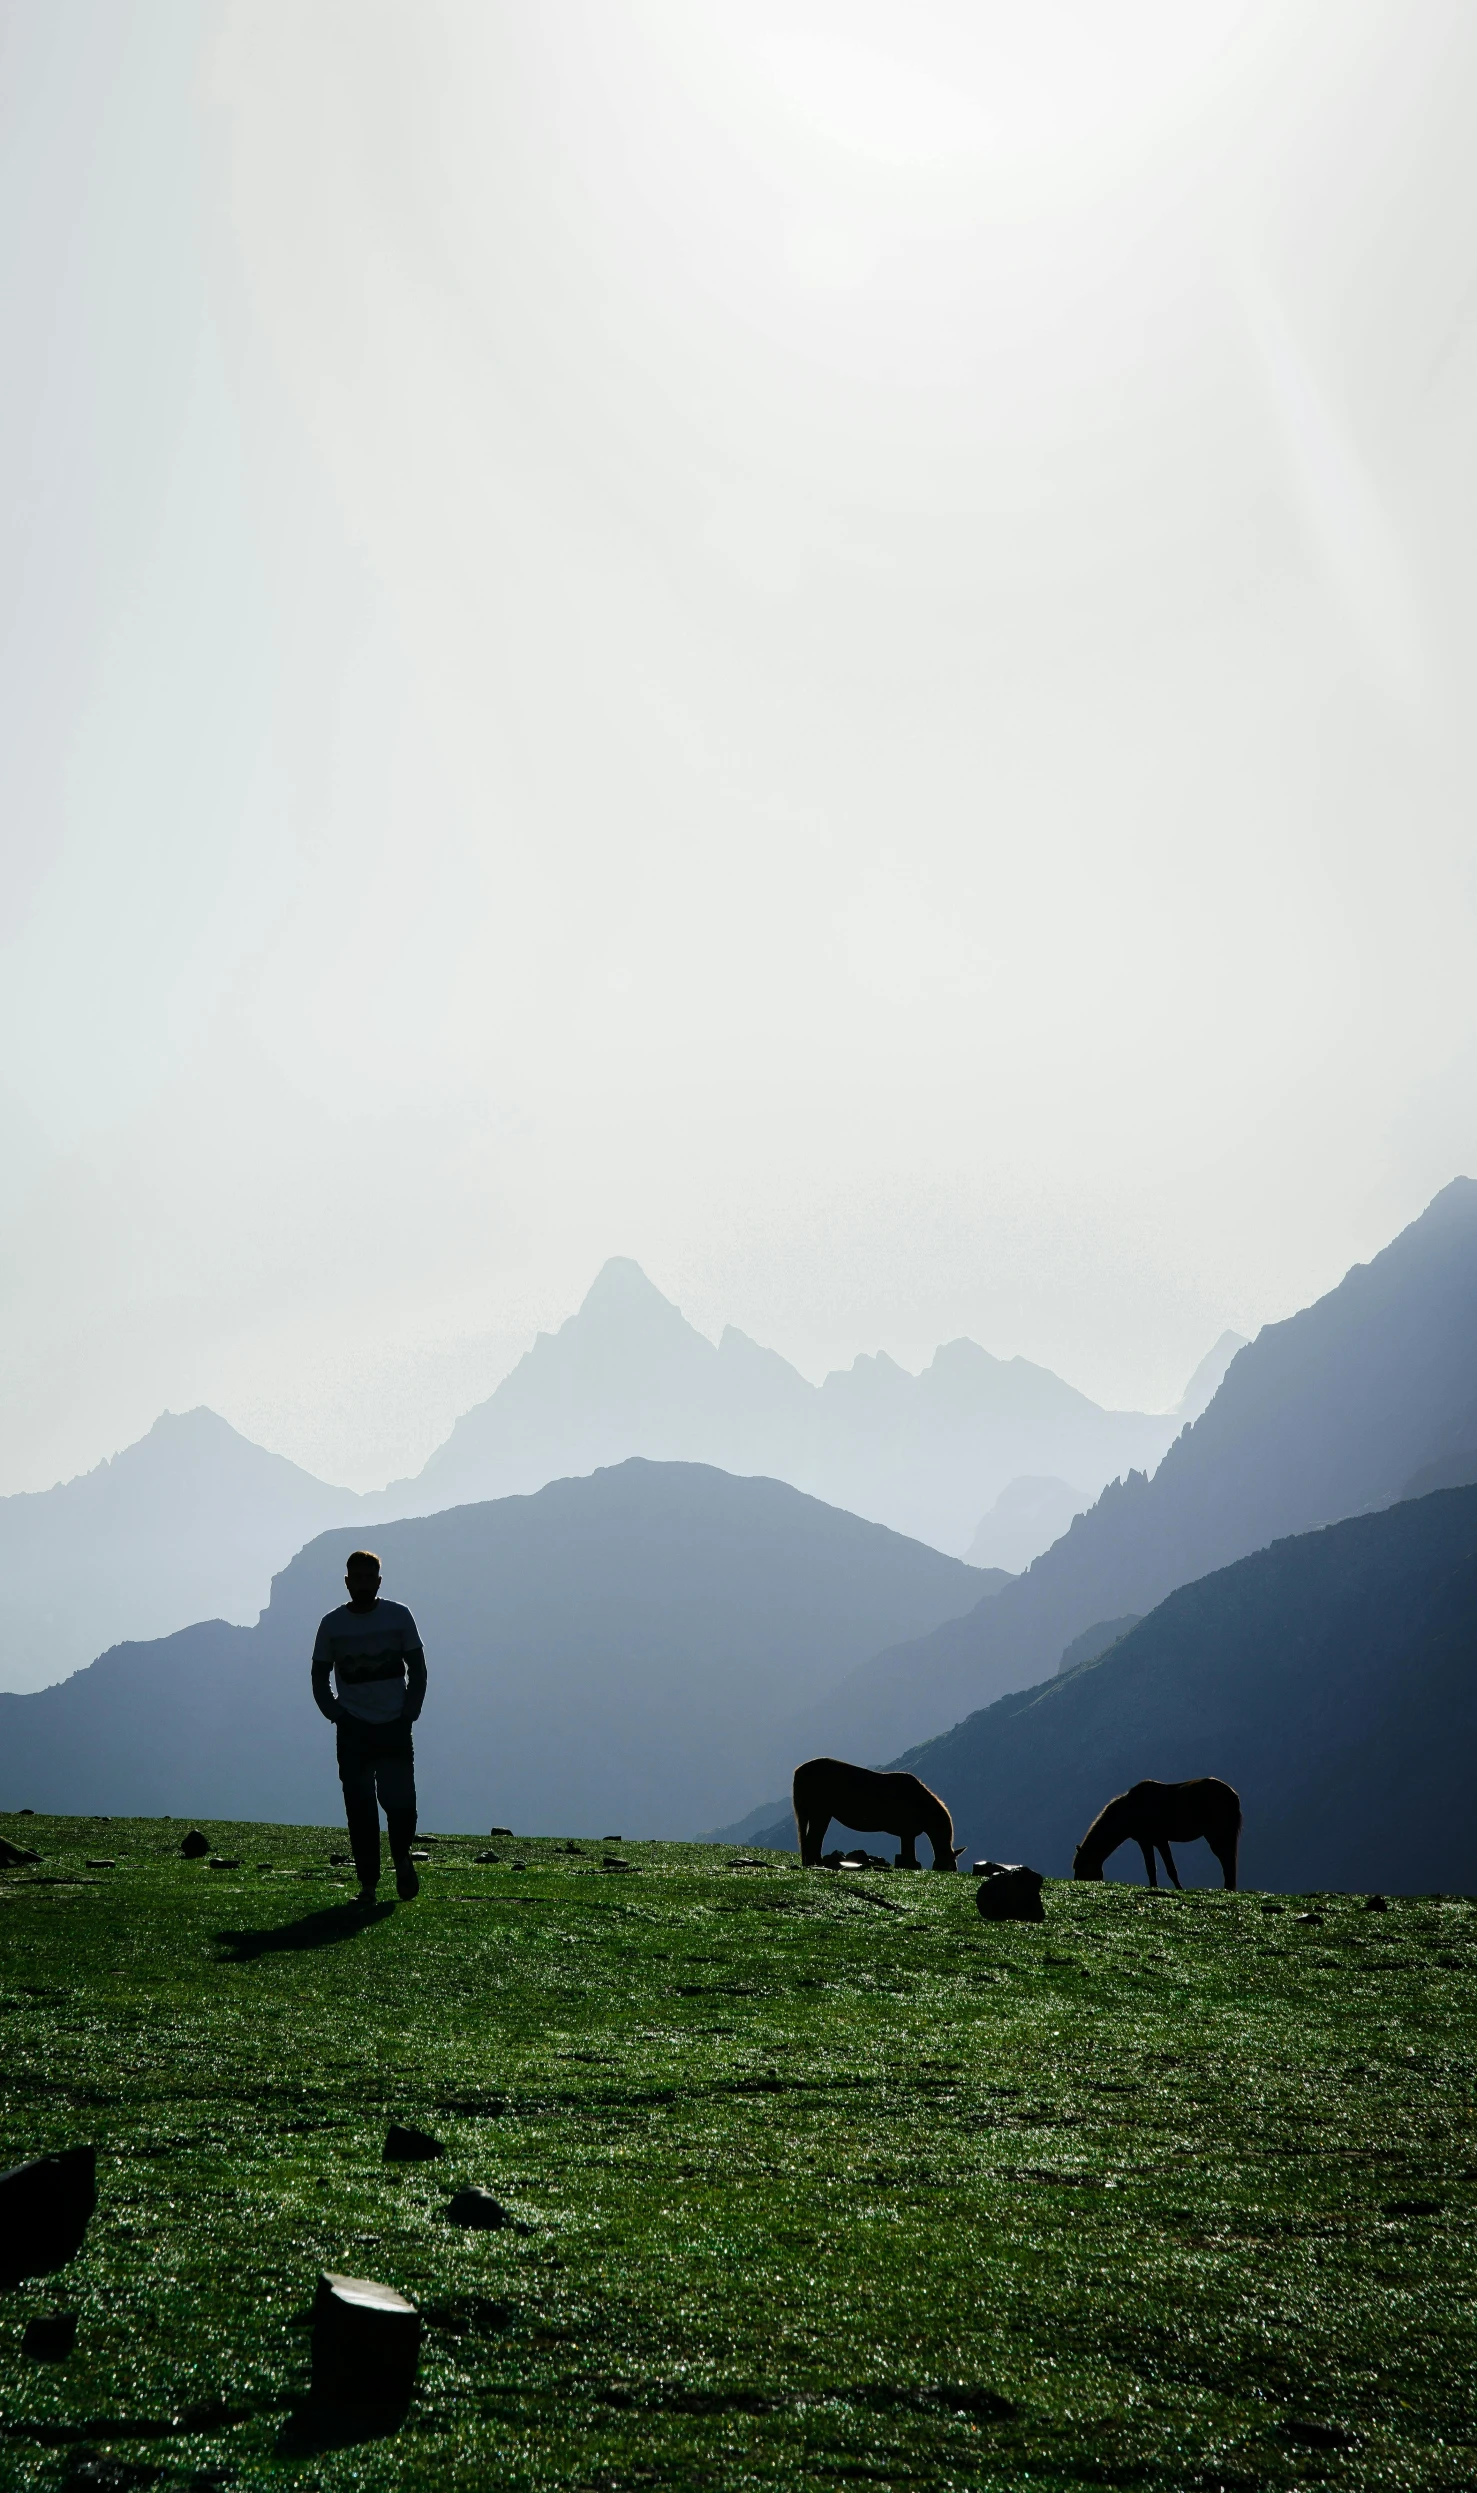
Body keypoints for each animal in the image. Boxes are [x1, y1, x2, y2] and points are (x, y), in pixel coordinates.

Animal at [788, 1755, 963, 1874]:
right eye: (951, 1866)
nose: (952, 1871)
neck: (920, 1803)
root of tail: (800, 1770)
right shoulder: (908, 1834)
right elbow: (909, 1856)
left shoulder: (906, 1835)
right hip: (820, 1814)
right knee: (813, 1840)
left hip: (819, 1815)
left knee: (813, 1841)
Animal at [1067, 1775, 1242, 1884]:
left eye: (1080, 1866)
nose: (1077, 1882)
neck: (1129, 1810)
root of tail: (1232, 1794)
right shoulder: (1149, 1842)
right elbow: (1153, 1870)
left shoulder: (1156, 1841)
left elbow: (1167, 1870)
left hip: (1217, 1835)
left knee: (1227, 1861)